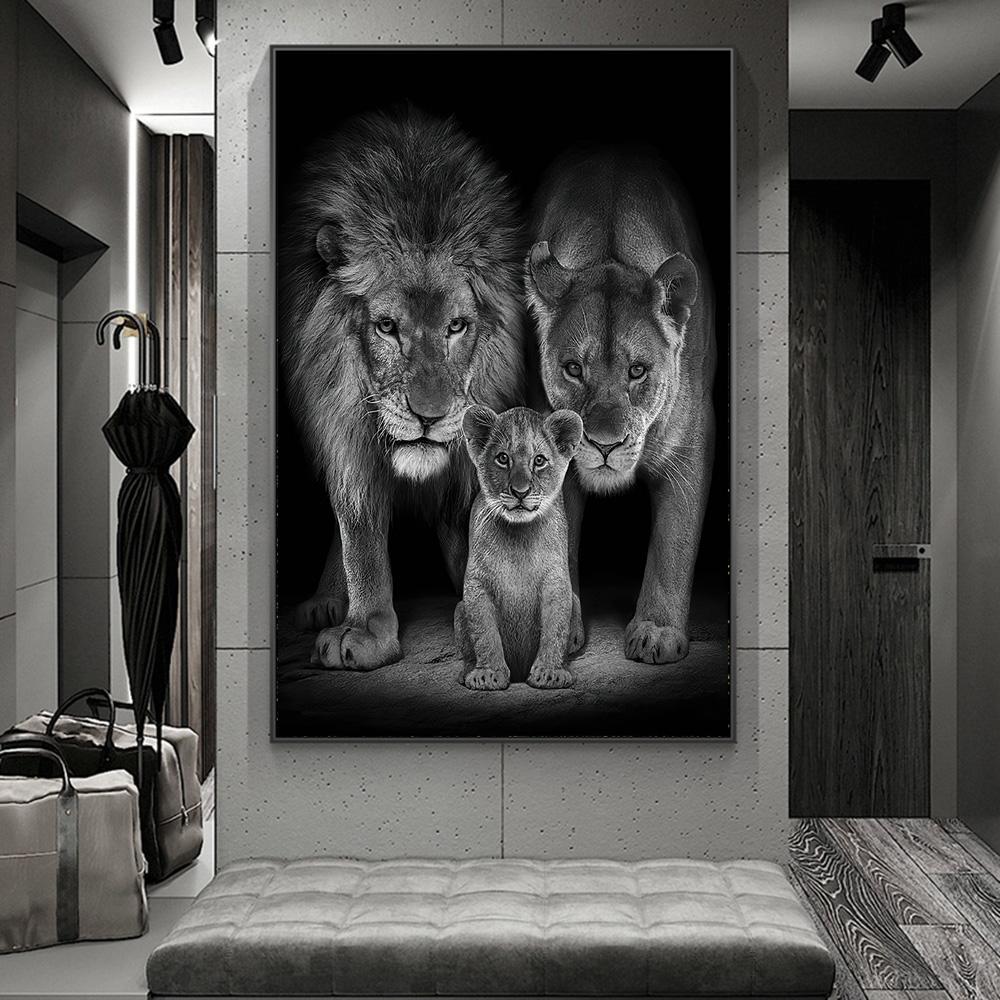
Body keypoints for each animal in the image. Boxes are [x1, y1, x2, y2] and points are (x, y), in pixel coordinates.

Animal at [279, 108, 525, 670]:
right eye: (387, 327)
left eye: (457, 326)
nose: (429, 417)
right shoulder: (343, 425)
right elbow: (359, 530)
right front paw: (364, 628)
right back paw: (327, 600)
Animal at [456, 405, 584, 690]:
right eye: (503, 458)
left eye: (539, 460)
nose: (520, 491)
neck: (519, 534)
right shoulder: (476, 583)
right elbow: (484, 633)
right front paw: (488, 674)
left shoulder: (556, 580)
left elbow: (555, 629)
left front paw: (549, 673)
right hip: (458, 609)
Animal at [525, 149, 716, 665]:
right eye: (573, 369)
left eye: (638, 371)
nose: (605, 445)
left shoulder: (691, 445)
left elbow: (674, 542)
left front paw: (657, 631)